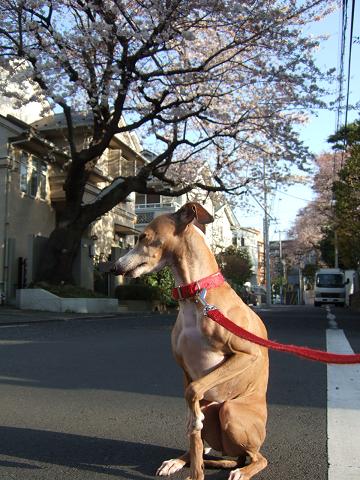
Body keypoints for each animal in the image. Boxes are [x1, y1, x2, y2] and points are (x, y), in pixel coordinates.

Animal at [112, 202, 268, 480]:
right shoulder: (186, 370)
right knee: (204, 446)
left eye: (143, 237)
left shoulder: (246, 354)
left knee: (258, 457)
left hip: (231, 411)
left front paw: (193, 422)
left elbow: (193, 392)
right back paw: (177, 460)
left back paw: (243, 471)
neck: (196, 295)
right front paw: (195, 471)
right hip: (212, 412)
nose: (114, 267)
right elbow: (193, 428)